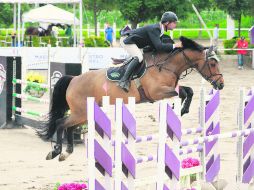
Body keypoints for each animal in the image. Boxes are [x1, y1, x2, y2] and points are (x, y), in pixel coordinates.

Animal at [39, 36, 224, 161]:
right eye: (213, 64)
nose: (221, 85)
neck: (166, 66)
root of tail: (73, 79)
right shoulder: (157, 92)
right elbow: (183, 93)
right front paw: (178, 108)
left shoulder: (170, 88)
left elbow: (189, 91)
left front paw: (182, 109)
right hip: (80, 112)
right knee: (60, 123)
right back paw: (55, 151)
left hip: (85, 113)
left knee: (69, 127)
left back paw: (66, 152)